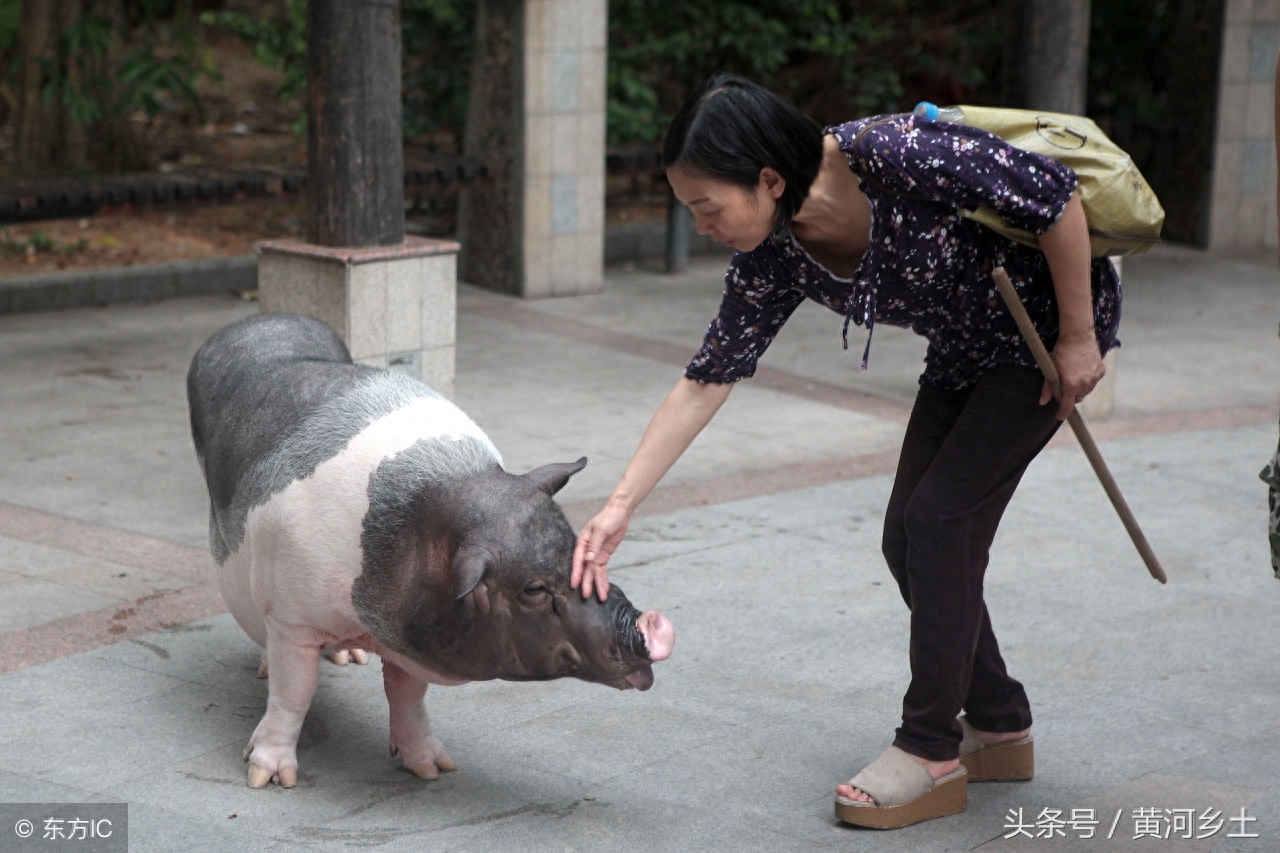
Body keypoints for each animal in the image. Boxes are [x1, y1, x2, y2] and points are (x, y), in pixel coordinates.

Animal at [186, 315, 680, 788]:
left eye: (578, 547)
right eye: (534, 589)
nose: (651, 626)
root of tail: (252, 322)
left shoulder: (410, 640)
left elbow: (407, 696)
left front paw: (435, 770)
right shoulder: (293, 619)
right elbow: (294, 694)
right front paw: (266, 780)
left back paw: (350, 660)